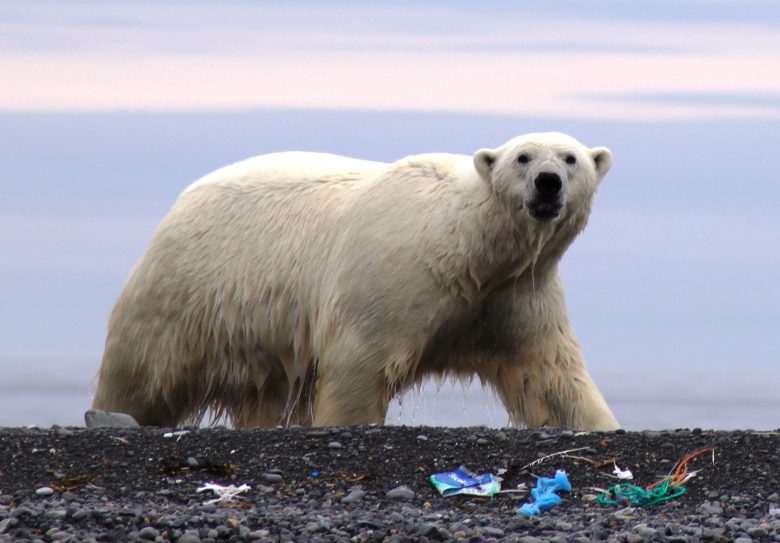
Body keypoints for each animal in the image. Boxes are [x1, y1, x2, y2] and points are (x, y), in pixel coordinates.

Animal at [88, 130, 620, 432]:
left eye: (570, 158)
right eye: (523, 157)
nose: (548, 183)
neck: (466, 248)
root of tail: (181, 202)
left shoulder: (515, 293)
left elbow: (551, 373)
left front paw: (596, 423)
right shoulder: (390, 274)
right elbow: (359, 364)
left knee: (266, 392)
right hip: (190, 292)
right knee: (139, 374)